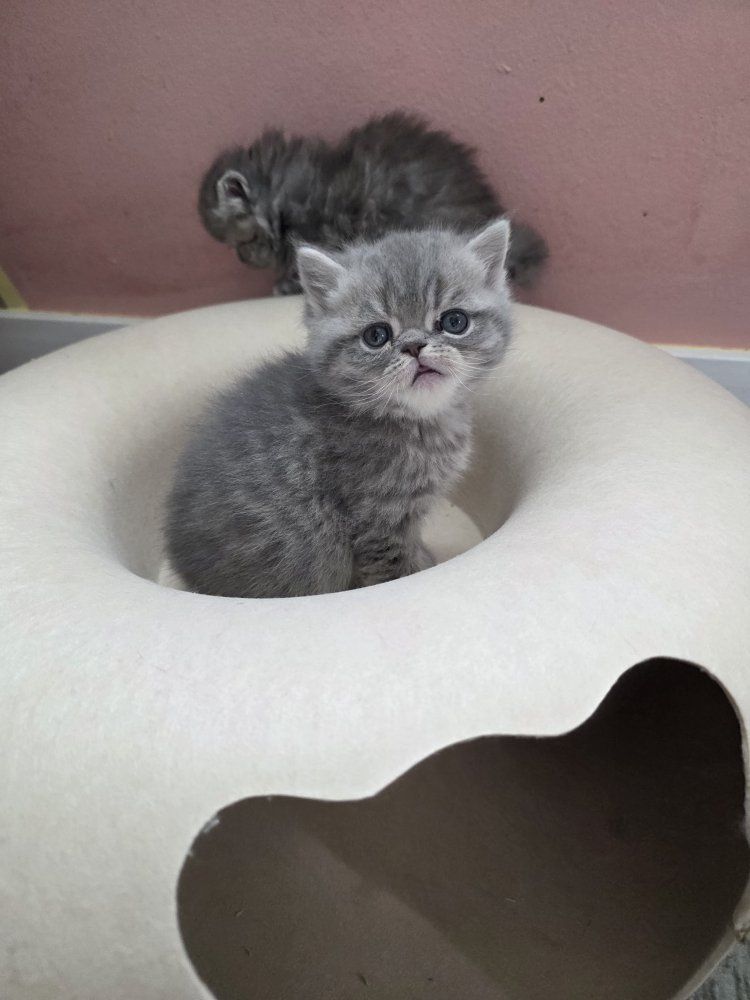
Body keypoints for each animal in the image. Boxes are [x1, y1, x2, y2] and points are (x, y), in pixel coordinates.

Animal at [165, 218, 514, 598]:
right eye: (376, 336)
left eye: (454, 322)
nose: (414, 346)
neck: (417, 421)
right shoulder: (377, 523)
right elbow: (396, 572)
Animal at [198, 111, 547, 296]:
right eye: (235, 247)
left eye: (243, 241)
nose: (241, 258)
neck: (283, 192)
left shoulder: (322, 231)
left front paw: (286, 285)